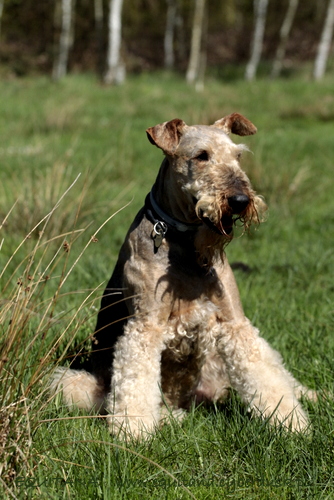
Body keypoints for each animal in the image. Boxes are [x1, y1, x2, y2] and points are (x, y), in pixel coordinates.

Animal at [51, 113, 314, 438]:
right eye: (201, 156)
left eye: (238, 156)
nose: (240, 200)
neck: (187, 244)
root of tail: (205, 397)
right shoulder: (145, 326)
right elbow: (135, 383)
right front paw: (133, 432)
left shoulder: (234, 322)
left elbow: (266, 376)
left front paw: (292, 424)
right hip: (73, 384)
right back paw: (169, 417)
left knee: (280, 373)